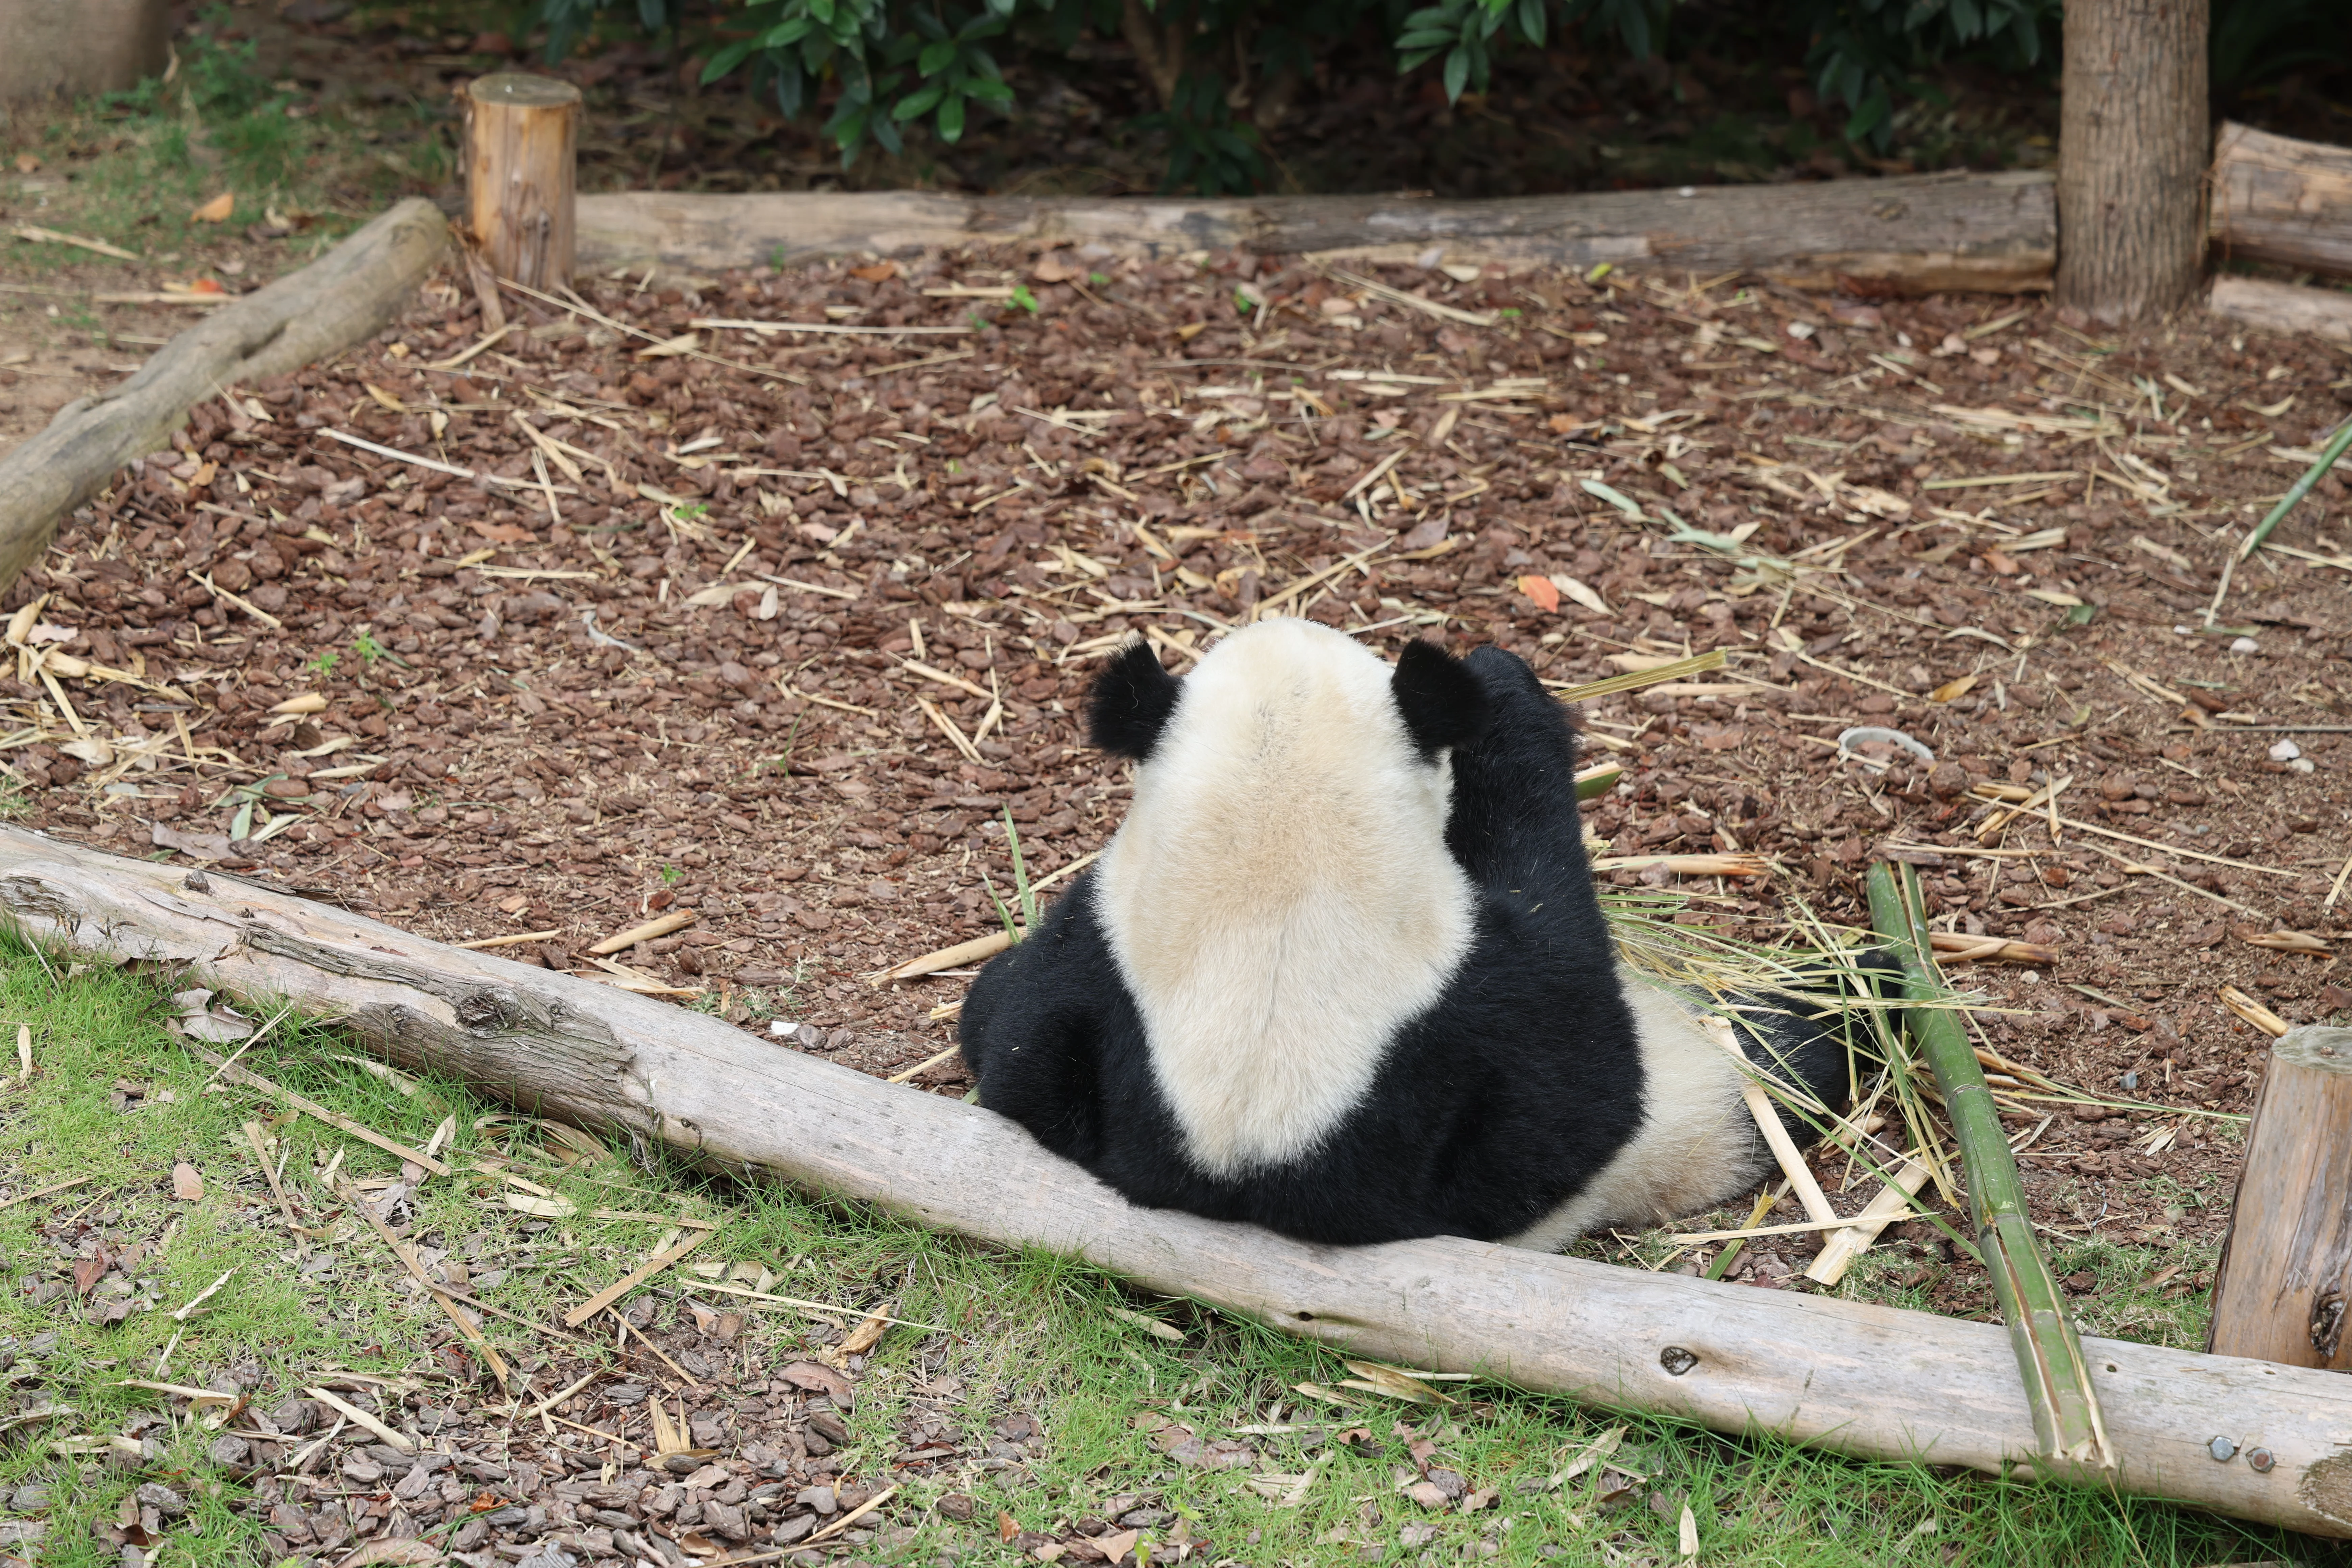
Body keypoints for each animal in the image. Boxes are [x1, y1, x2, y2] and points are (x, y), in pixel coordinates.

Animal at [956, 618, 1860, 1249]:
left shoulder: (1095, 955)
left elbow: (999, 1032)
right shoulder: (1476, 1003)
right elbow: (1581, 1098)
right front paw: (1503, 689)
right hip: (1701, 1094)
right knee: (1784, 1064)